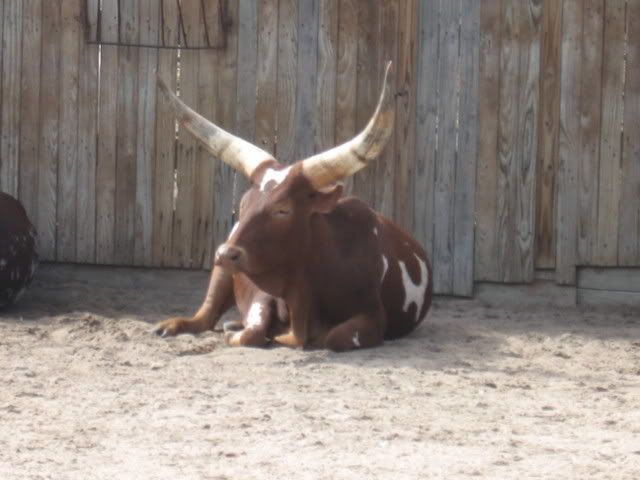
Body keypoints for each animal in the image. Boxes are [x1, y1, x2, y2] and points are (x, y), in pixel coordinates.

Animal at [154, 62, 432, 351]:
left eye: (283, 209)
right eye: (243, 204)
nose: (226, 253)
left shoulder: (373, 315)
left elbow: (336, 337)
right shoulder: (262, 292)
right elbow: (254, 331)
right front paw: (245, 333)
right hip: (222, 275)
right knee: (206, 315)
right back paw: (174, 326)